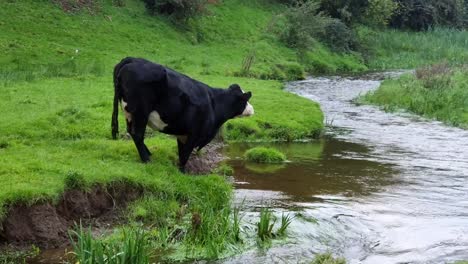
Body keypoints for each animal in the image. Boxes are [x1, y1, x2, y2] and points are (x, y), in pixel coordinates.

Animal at [111, 57, 254, 172]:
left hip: (129, 113)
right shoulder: (194, 134)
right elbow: (185, 154)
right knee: (138, 134)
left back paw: (149, 154)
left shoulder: (183, 134)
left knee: (131, 131)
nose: (252, 109)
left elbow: (181, 152)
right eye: (245, 100)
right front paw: (182, 171)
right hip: (140, 112)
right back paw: (147, 159)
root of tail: (133, 59)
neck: (214, 104)